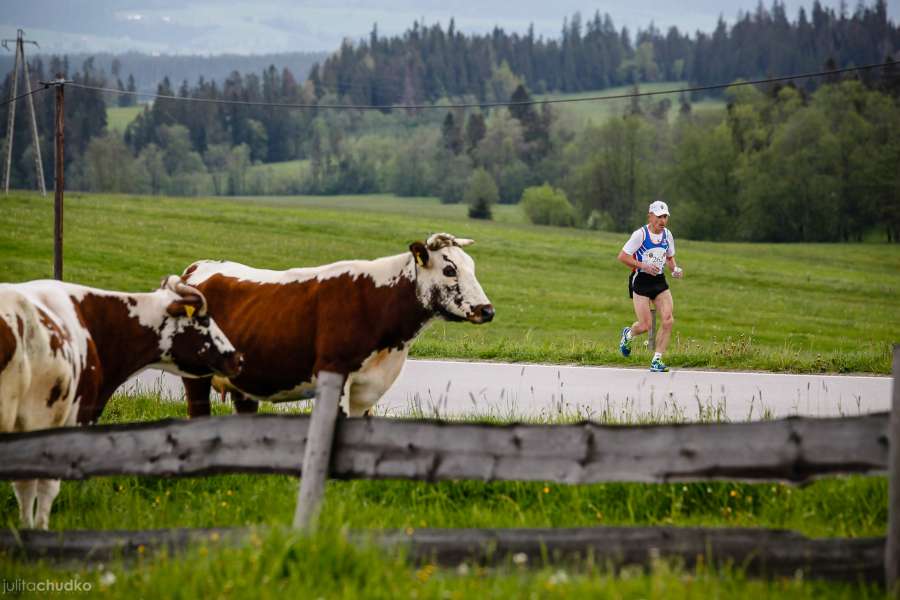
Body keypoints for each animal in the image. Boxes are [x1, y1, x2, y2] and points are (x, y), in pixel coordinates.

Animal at [180, 232, 496, 420]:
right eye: (450, 269)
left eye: (472, 268)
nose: (487, 309)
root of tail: (198, 268)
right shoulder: (334, 373)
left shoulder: (366, 390)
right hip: (195, 375)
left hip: (243, 383)